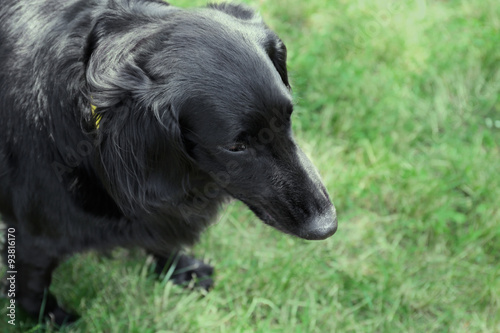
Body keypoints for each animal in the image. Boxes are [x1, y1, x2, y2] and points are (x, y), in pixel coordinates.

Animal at [0, 0, 338, 324]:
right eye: (236, 146)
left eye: (288, 117)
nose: (328, 225)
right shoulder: (34, 239)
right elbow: (32, 286)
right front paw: (49, 317)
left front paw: (180, 269)